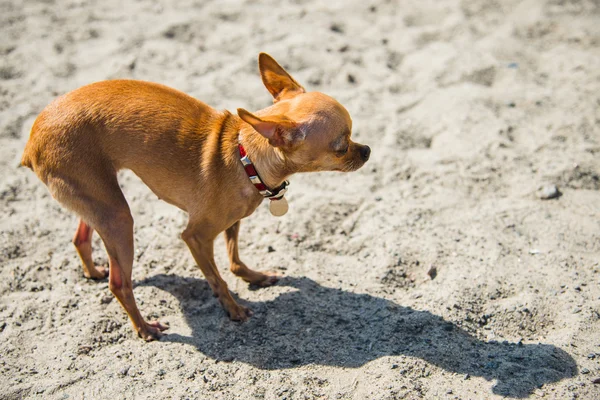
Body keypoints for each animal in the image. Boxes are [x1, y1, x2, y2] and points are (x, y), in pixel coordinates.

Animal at [21, 52, 370, 340]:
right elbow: (218, 278)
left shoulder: (233, 222)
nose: (367, 150)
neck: (244, 156)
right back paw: (144, 328)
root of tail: (32, 140)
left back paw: (93, 271)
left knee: (81, 238)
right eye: (341, 147)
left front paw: (254, 276)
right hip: (118, 216)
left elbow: (234, 260)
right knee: (120, 282)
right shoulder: (196, 237)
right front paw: (233, 309)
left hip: (98, 201)